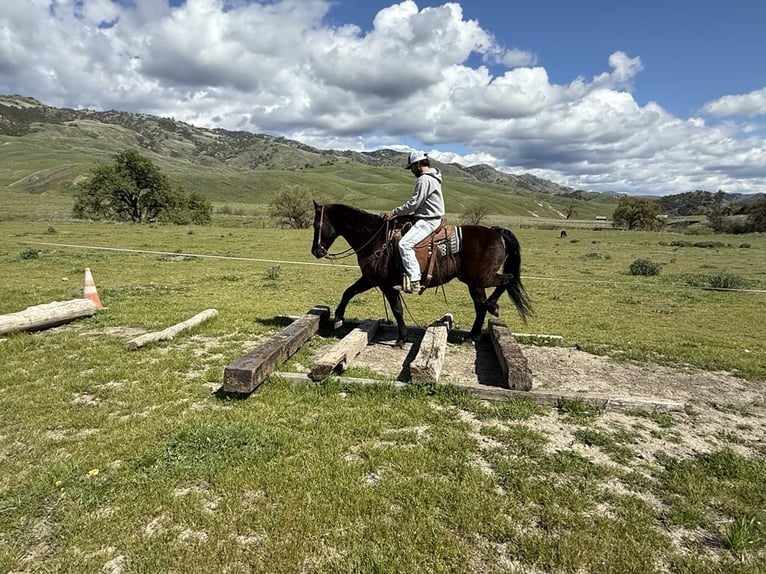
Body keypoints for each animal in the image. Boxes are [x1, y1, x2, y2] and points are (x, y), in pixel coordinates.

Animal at [311, 201, 533, 347]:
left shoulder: (384, 284)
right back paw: (473, 334)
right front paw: (338, 317)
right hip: (476, 283)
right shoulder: (372, 279)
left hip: (479, 280)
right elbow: (349, 292)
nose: (316, 251)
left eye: (316, 225)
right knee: (481, 305)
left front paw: (401, 338)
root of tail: (495, 231)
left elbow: (397, 310)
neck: (375, 238)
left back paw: (491, 309)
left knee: (503, 284)